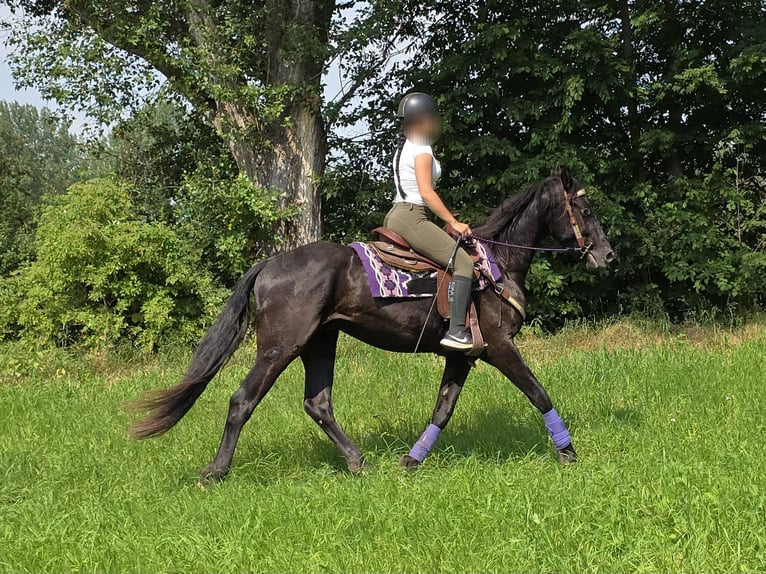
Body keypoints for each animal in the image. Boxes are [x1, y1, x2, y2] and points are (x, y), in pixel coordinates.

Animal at [129, 167, 615, 482]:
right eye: (585, 207)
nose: (608, 255)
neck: (496, 264)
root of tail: (270, 264)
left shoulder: (464, 356)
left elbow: (442, 409)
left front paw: (412, 462)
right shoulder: (499, 348)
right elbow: (539, 392)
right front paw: (568, 452)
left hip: (320, 342)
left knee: (318, 404)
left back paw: (357, 461)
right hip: (280, 347)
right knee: (241, 400)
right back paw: (217, 471)